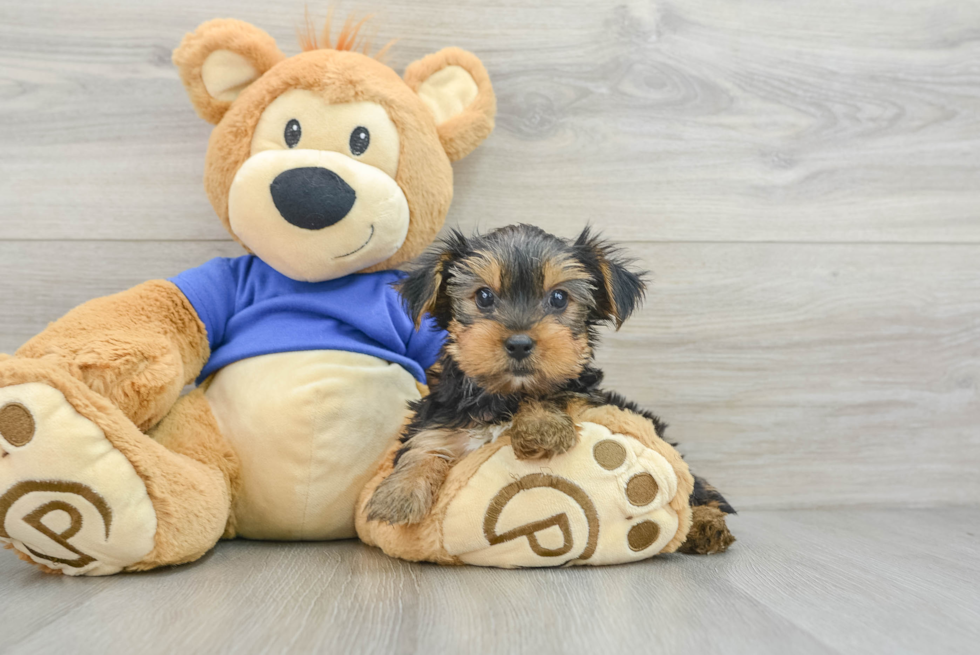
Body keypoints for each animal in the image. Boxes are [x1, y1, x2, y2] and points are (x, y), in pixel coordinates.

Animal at [368, 224, 736, 552]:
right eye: (484, 297)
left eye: (559, 298)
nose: (519, 343)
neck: (507, 396)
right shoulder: (440, 416)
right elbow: (423, 447)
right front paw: (398, 495)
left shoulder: (584, 396)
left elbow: (555, 392)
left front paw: (541, 427)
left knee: (695, 491)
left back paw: (706, 525)